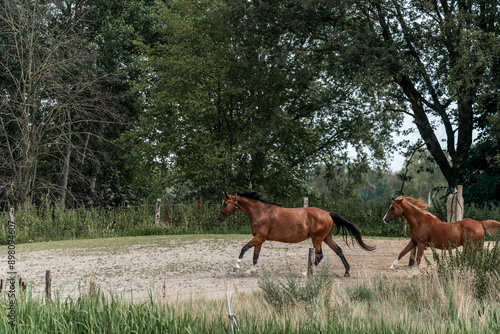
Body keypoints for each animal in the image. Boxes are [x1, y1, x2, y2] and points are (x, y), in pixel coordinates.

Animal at [216, 190, 376, 276]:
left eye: (225, 203)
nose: (219, 218)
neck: (260, 212)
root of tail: (328, 214)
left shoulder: (259, 237)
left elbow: (244, 248)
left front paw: (236, 266)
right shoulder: (259, 239)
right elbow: (255, 256)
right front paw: (250, 271)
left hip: (317, 239)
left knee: (319, 255)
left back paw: (306, 273)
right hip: (327, 238)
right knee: (339, 251)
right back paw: (347, 272)